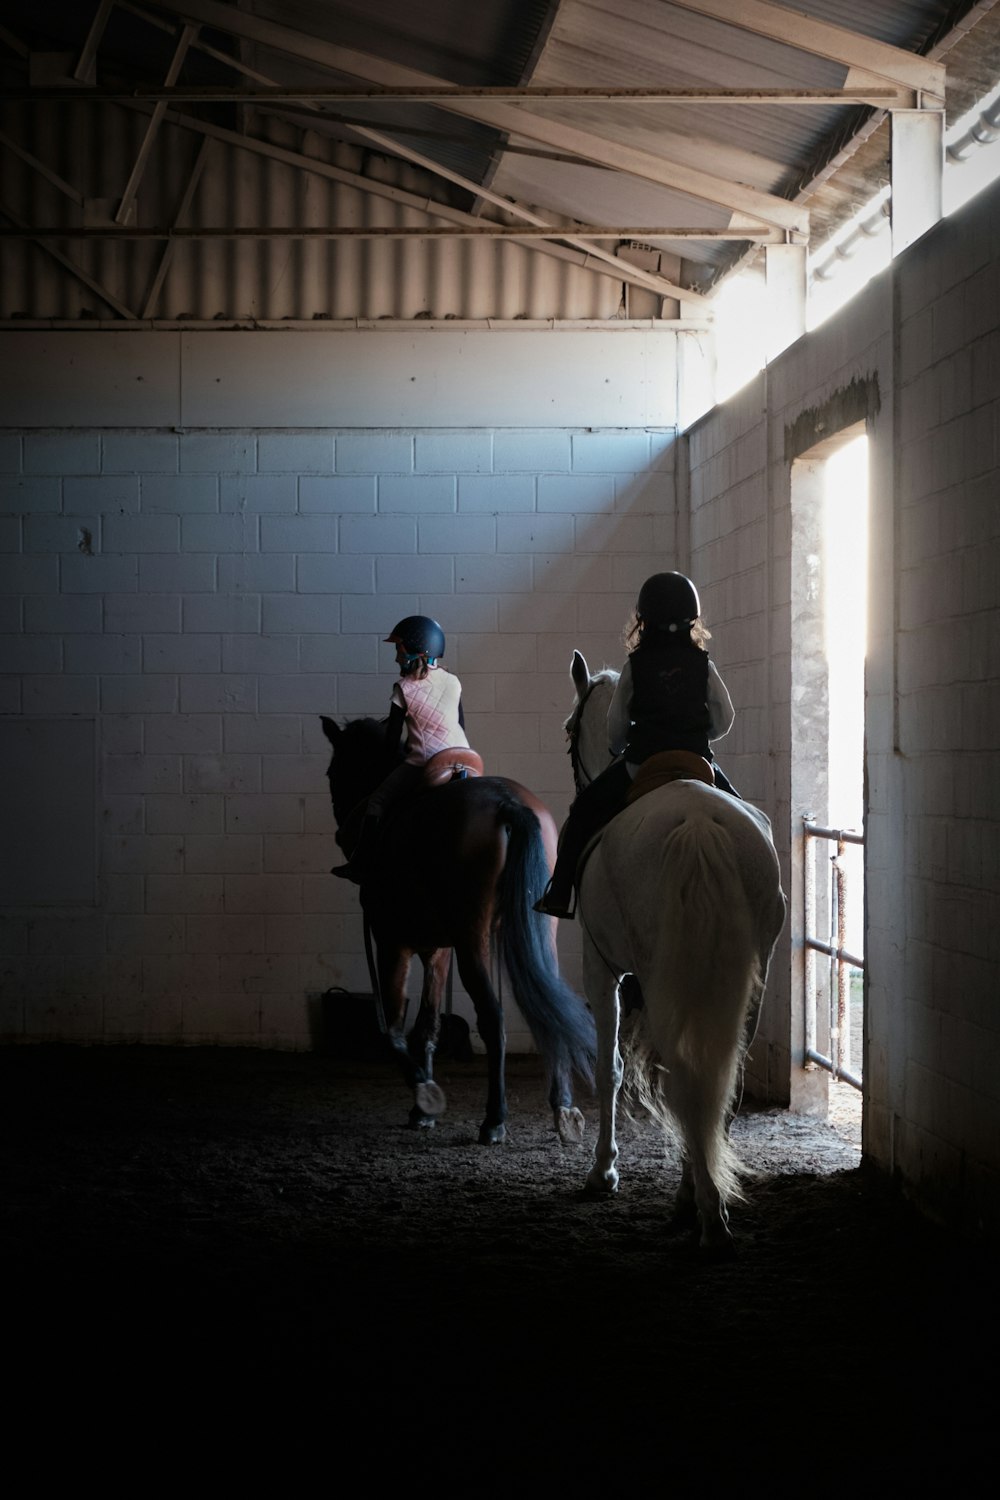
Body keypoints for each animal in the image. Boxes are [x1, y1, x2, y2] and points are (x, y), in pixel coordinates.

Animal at [320, 720, 593, 1140]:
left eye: (334, 771)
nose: (340, 830)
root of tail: (506, 803)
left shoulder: (393, 943)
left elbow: (393, 1028)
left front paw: (425, 1094)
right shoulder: (438, 950)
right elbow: (428, 1027)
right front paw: (422, 1111)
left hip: (472, 941)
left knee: (493, 1017)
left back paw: (495, 1119)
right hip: (537, 932)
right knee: (551, 1008)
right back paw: (562, 1107)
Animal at [563, 651, 791, 1248]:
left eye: (570, 729)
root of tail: (697, 824)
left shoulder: (600, 967)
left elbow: (609, 1067)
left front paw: (603, 1172)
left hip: (660, 978)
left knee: (685, 1073)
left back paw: (702, 1207)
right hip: (747, 978)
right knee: (720, 1077)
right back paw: (704, 1197)